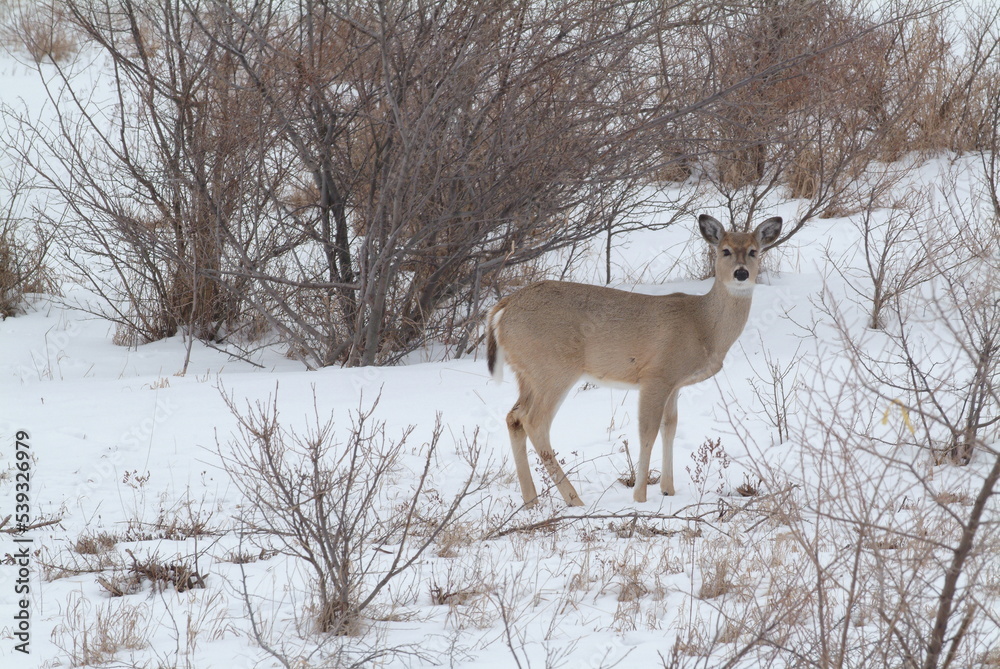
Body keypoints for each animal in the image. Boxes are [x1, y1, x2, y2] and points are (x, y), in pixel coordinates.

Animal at [486, 214, 782, 506]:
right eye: (725, 250)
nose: (741, 273)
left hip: (526, 373)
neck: (703, 325)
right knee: (534, 422)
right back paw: (574, 500)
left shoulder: (675, 384)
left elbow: (670, 427)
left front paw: (668, 490)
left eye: (754, 251)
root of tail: (504, 308)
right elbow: (647, 432)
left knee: (513, 417)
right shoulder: (656, 375)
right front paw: (640, 496)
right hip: (553, 369)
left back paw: (531, 500)